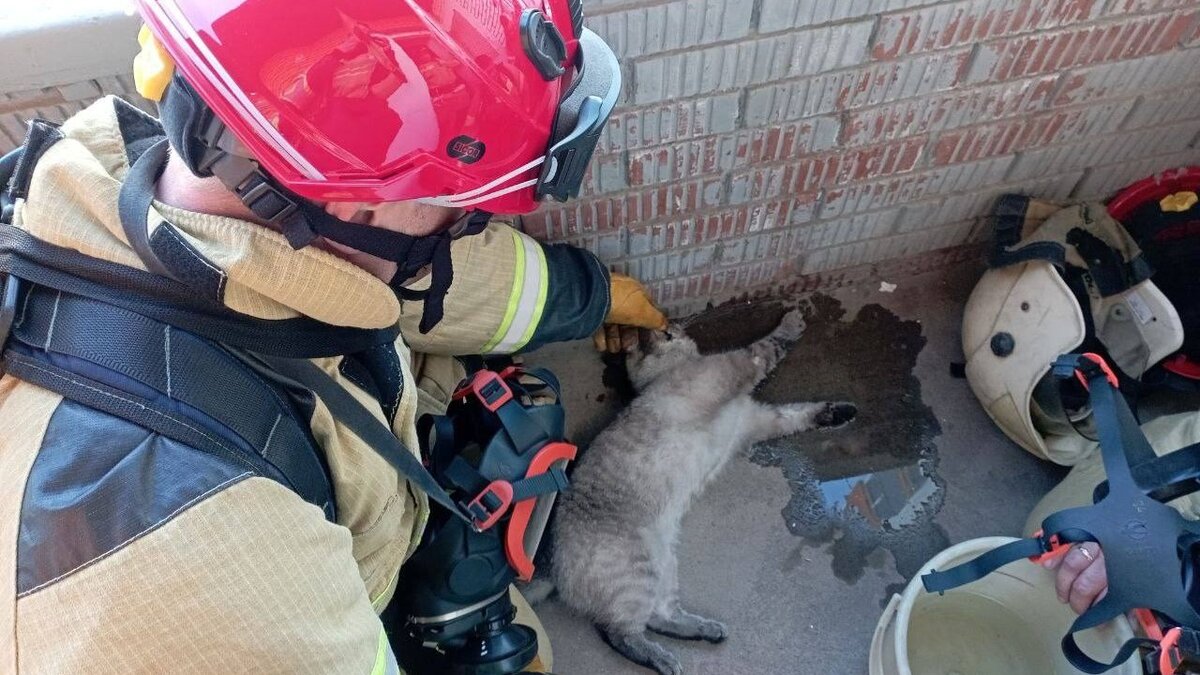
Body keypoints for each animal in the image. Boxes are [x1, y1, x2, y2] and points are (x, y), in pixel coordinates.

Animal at [549, 309, 859, 672]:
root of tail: (552, 568)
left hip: (664, 565)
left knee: (659, 617)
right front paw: (793, 321)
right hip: (638, 575)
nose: (667, 323)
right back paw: (665, 660)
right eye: (665, 329)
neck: (664, 375)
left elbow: (802, 411)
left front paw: (842, 413)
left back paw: (707, 631)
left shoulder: (759, 420)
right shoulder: (743, 364)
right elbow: (772, 344)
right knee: (621, 633)